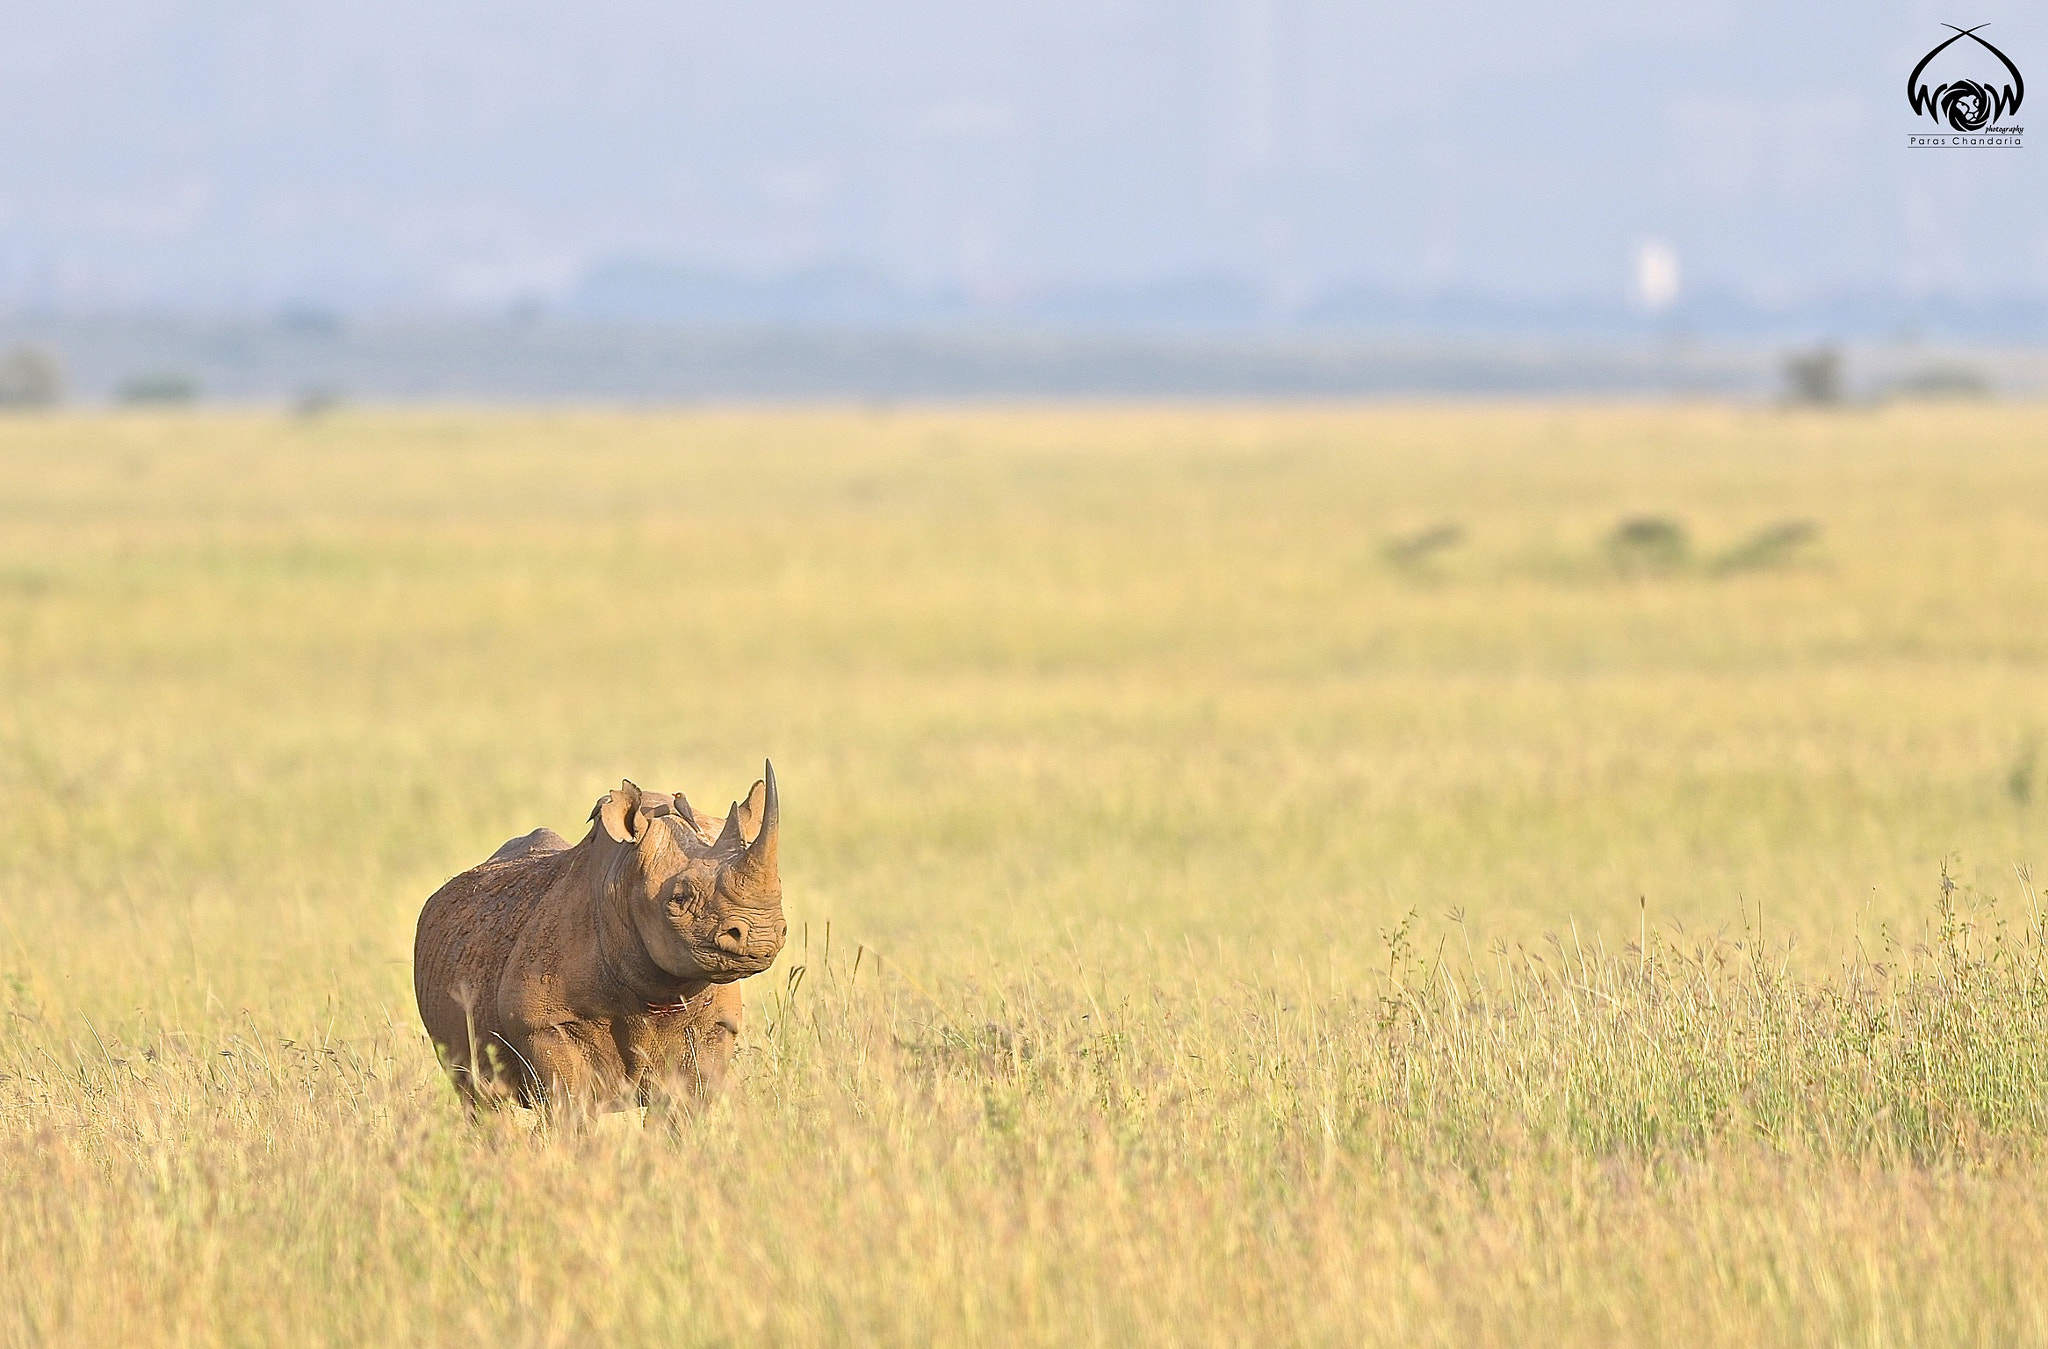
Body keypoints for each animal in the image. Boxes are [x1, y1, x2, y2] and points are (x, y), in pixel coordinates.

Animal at [413, 765, 787, 1115]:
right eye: (678, 899)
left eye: (780, 886)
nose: (761, 937)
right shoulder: (543, 1023)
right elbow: (570, 1105)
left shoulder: (716, 1027)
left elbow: (682, 1109)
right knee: (481, 1099)